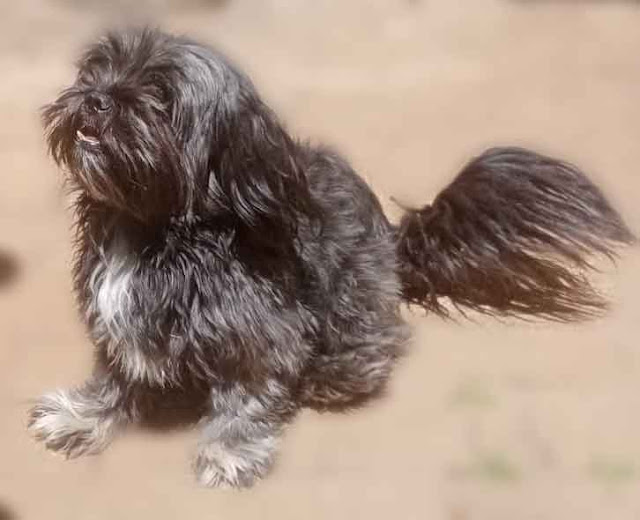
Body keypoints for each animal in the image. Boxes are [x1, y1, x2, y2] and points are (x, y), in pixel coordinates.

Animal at [26, 28, 636, 488]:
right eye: (98, 68)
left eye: (159, 92)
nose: (97, 97)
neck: (152, 228)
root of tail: (394, 243)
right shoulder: (118, 320)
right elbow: (113, 375)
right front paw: (83, 417)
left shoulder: (259, 332)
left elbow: (246, 396)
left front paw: (230, 452)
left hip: (352, 320)